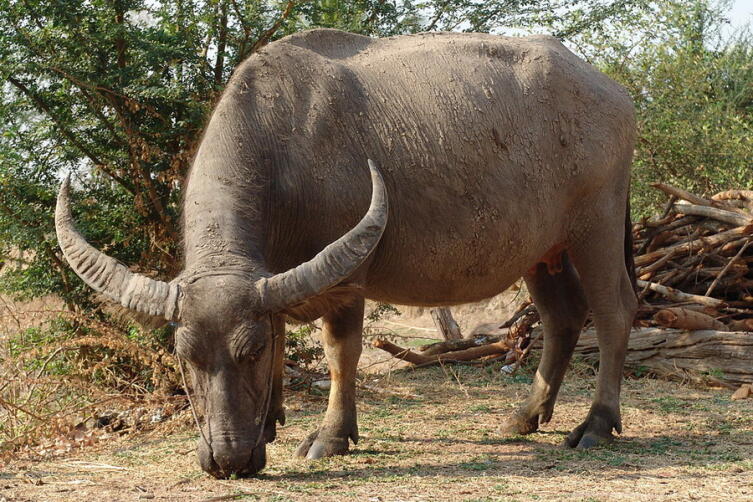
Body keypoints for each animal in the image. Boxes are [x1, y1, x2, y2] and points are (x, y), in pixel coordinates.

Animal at [55, 28, 636, 478]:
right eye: (185, 356)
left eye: (249, 352)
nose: (228, 459)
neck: (285, 151)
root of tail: (612, 91)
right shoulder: (273, 277)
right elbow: (282, 330)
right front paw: (271, 421)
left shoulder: (347, 279)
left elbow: (341, 353)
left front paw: (331, 436)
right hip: (543, 250)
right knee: (562, 317)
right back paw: (525, 415)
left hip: (598, 228)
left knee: (613, 312)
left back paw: (595, 424)